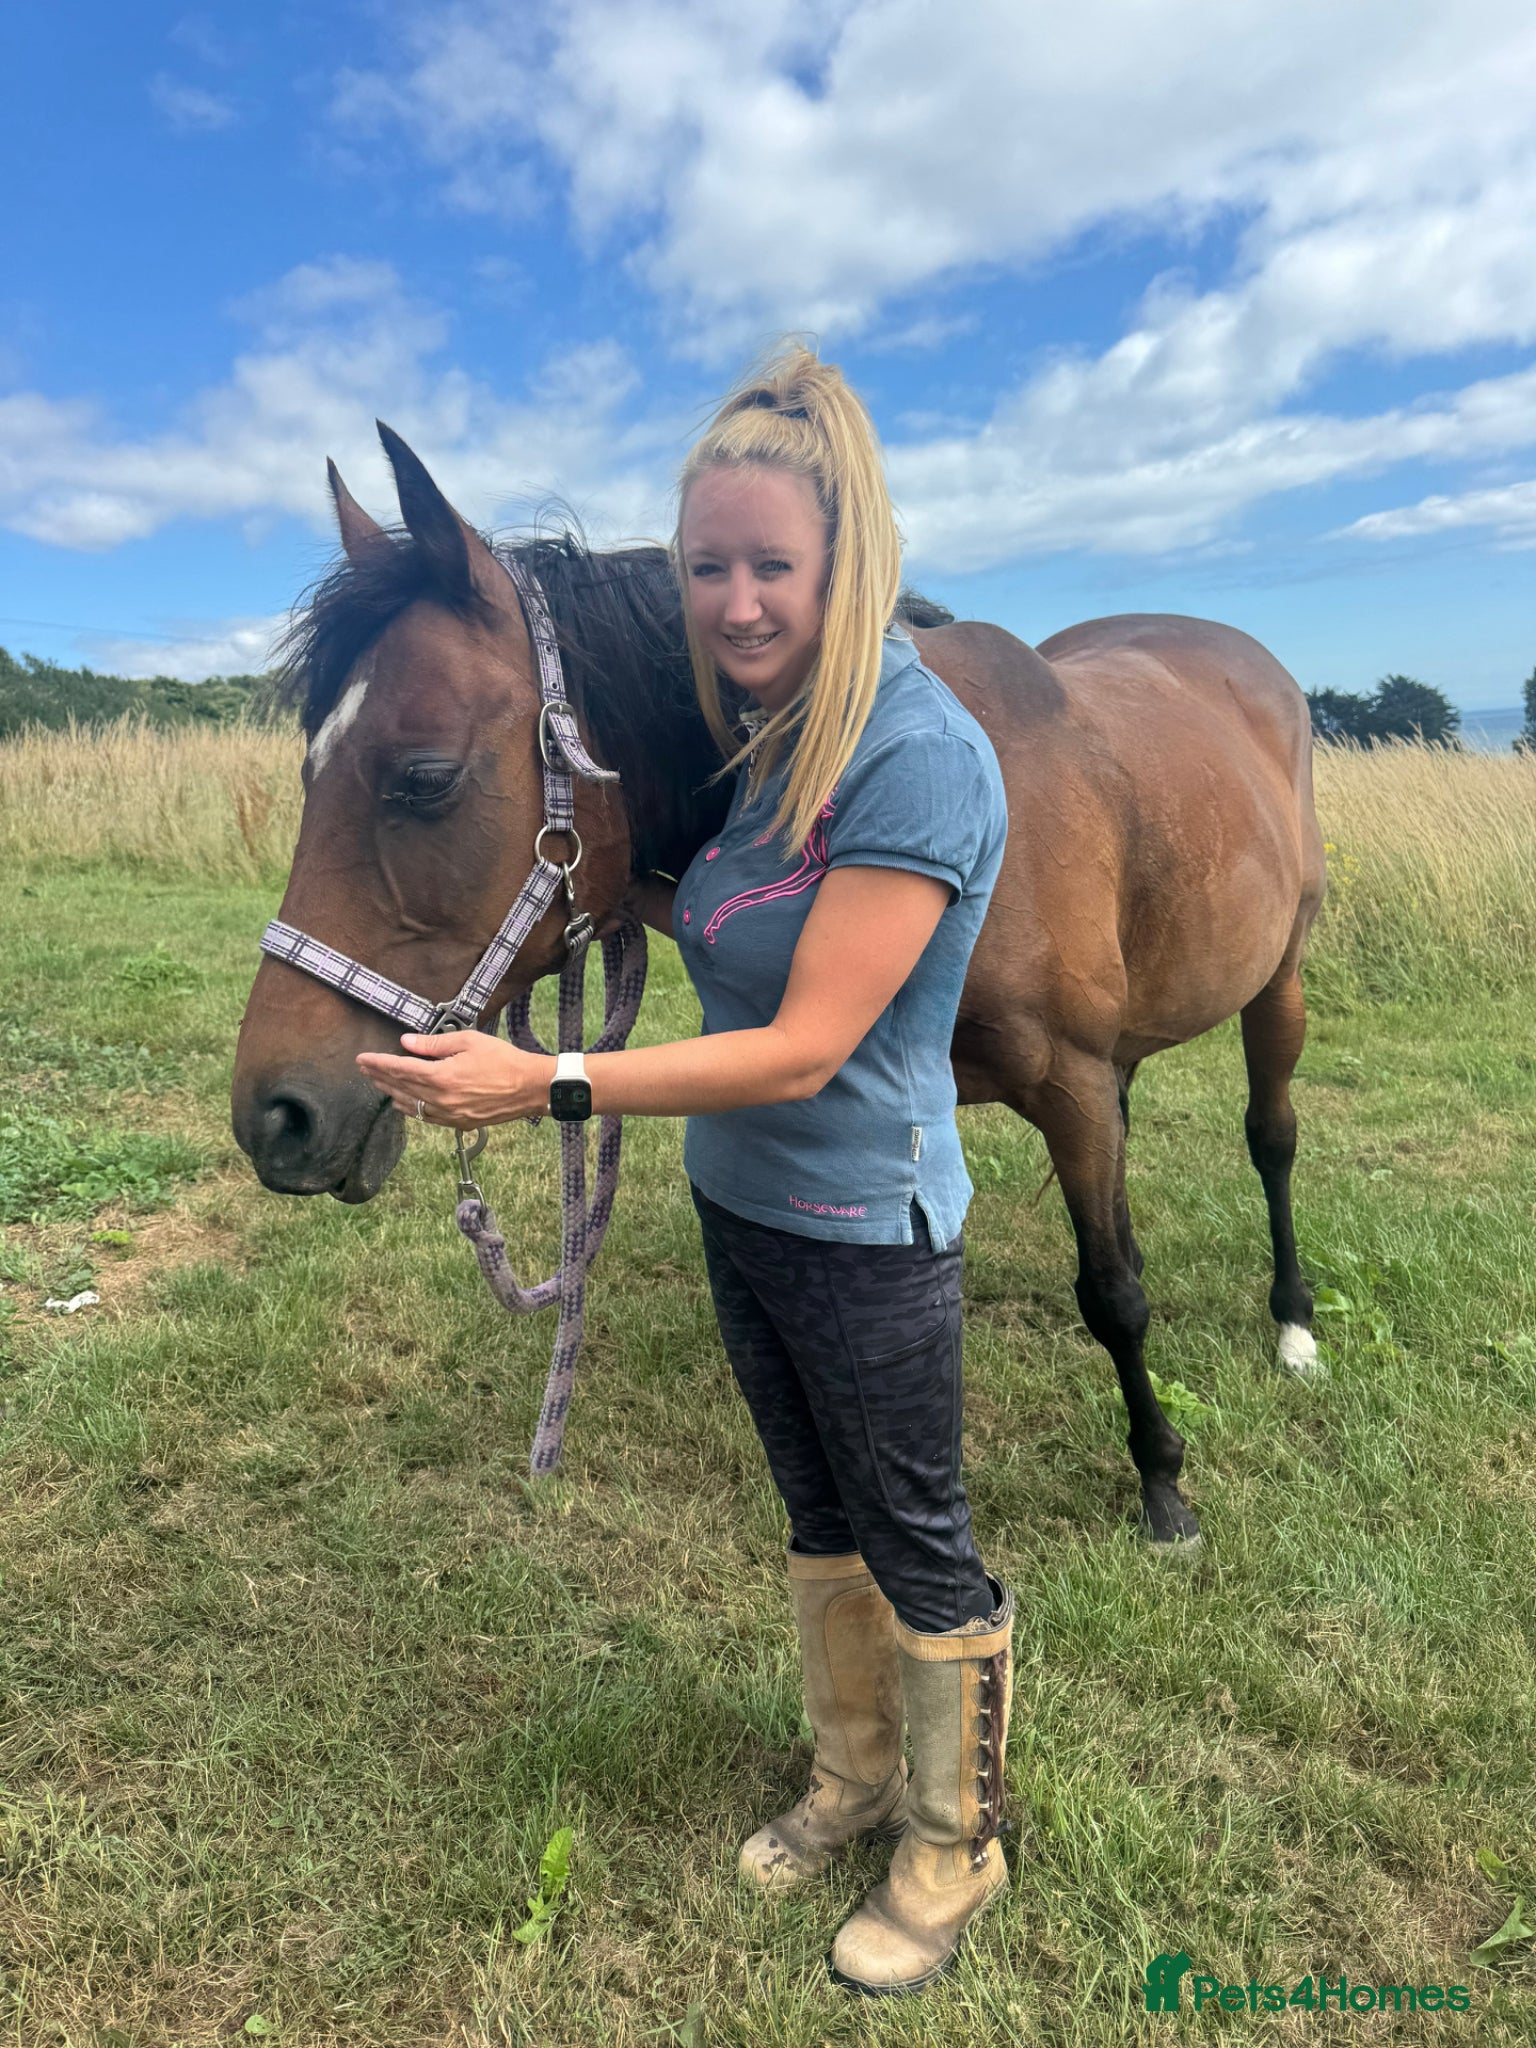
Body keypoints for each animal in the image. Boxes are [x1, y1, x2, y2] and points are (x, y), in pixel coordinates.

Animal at [232, 424, 1326, 1551]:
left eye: (424, 778)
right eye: (311, 771)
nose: (274, 1115)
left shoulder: (1071, 1081)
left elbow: (1114, 1289)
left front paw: (1163, 1481)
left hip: (1279, 980)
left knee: (1272, 1137)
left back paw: (1294, 1324)